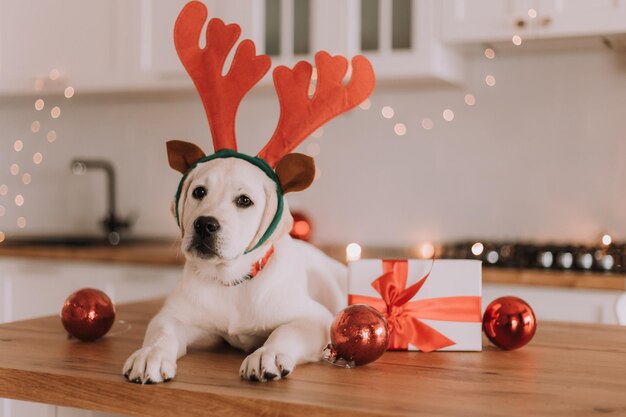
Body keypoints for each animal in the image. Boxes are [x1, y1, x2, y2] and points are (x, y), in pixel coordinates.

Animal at [122, 145, 346, 380]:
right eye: (199, 192)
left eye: (244, 200)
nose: (204, 224)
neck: (230, 280)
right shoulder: (172, 315)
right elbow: (162, 333)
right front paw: (150, 354)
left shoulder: (314, 318)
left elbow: (286, 331)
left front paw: (268, 354)